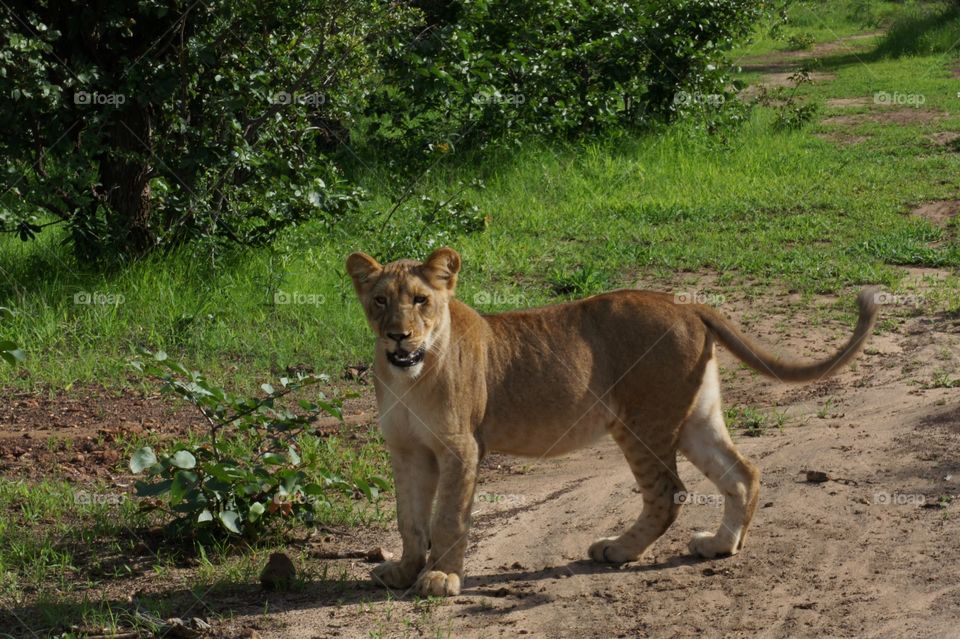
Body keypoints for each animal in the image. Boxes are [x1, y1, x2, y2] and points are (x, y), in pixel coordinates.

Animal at [346, 247, 878, 596]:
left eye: (420, 300)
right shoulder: (407, 451)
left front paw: (441, 577)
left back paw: (619, 550)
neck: (409, 376)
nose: (398, 336)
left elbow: (448, 516)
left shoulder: (461, 447)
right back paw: (721, 545)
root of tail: (687, 304)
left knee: (669, 492)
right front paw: (403, 571)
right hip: (694, 417)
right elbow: (410, 517)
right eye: (381, 301)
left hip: (640, 421)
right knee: (742, 472)